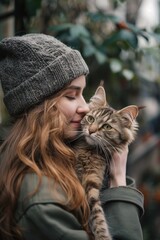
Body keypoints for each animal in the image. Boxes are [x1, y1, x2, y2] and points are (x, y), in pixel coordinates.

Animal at [73, 85, 142, 239]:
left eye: (107, 127)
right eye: (90, 118)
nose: (91, 131)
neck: (88, 149)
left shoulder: (92, 183)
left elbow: (98, 219)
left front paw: (103, 236)